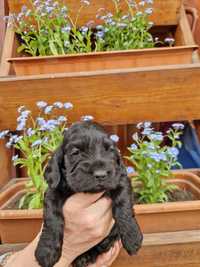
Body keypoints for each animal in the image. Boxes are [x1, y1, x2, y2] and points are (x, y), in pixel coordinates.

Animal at [35, 122, 143, 267]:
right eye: (76, 152)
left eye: (109, 150)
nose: (101, 174)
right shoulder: (53, 191)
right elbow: (52, 217)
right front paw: (46, 251)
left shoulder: (120, 180)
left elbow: (123, 206)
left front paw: (133, 238)